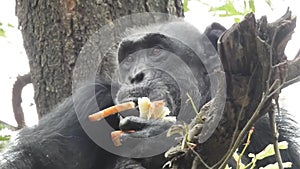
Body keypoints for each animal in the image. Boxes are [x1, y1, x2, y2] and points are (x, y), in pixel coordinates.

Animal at [0, 17, 298, 169]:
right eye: (129, 60)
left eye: (156, 52)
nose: (135, 75)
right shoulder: (84, 103)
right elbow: (40, 158)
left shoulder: (266, 127)